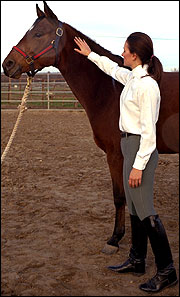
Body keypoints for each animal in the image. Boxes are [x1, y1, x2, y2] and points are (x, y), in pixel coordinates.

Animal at [2, 1, 179, 253]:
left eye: (37, 34)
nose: (8, 64)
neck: (109, 89)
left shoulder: (116, 155)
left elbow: (119, 196)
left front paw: (115, 239)